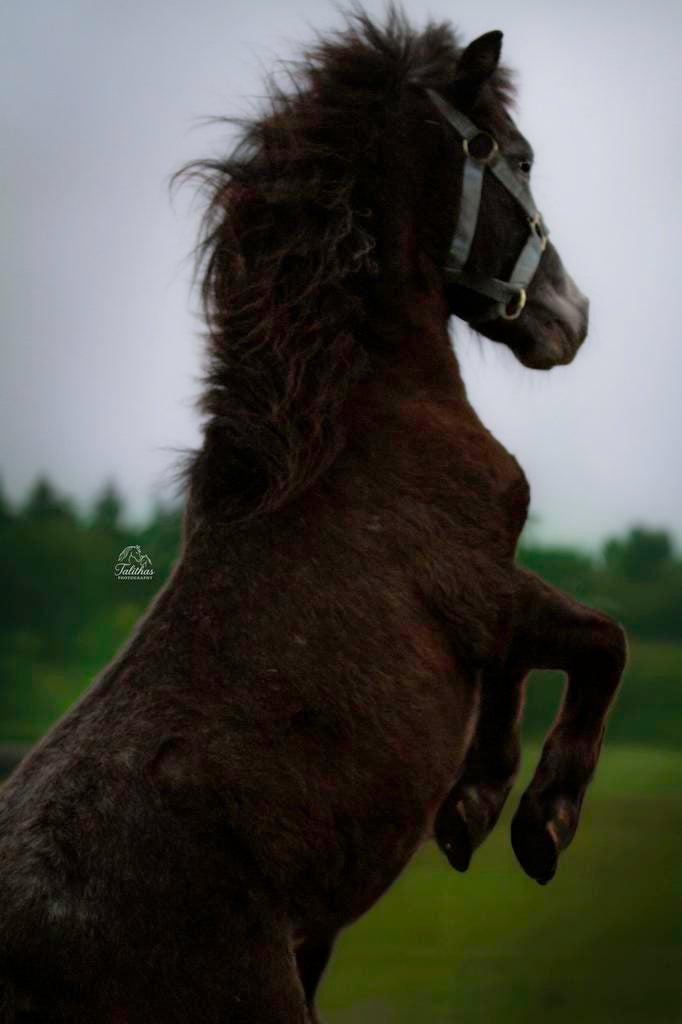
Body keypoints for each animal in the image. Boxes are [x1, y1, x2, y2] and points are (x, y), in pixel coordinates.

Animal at [0, 6, 627, 1022]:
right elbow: (600, 644)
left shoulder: (489, 603)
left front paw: (470, 812)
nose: (571, 318)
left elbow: (524, 671)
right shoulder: (482, 591)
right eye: (523, 159)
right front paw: (539, 821)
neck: (362, 424)